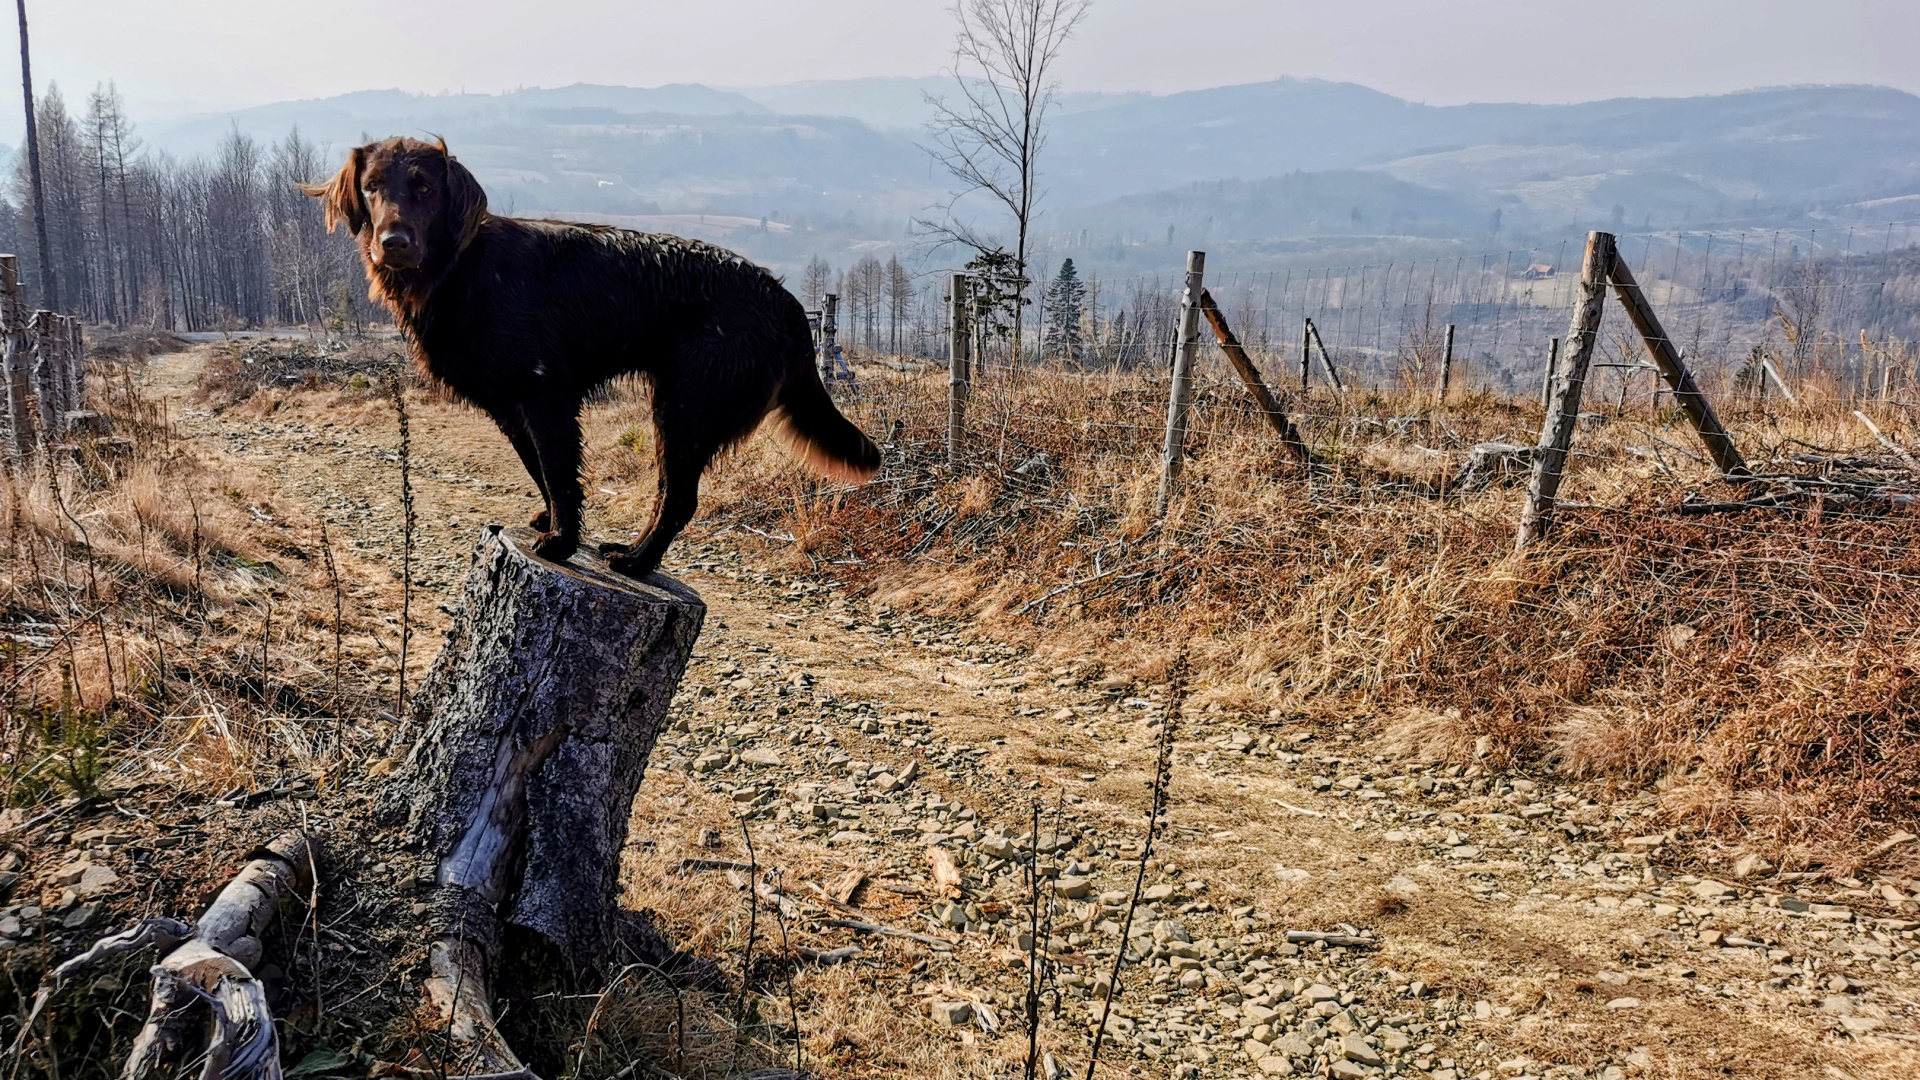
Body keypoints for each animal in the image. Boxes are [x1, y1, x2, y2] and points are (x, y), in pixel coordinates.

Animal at [304, 137, 880, 578]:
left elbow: (559, 471)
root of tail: (786, 301)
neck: (462, 267)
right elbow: (539, 468)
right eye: (372, 187)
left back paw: (637, 562)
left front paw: (561, 541)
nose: (393, 242)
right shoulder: (509, 405)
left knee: (678, 498)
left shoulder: (544, 393)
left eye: (424, 188)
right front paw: (552, 523)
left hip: (686, 406)